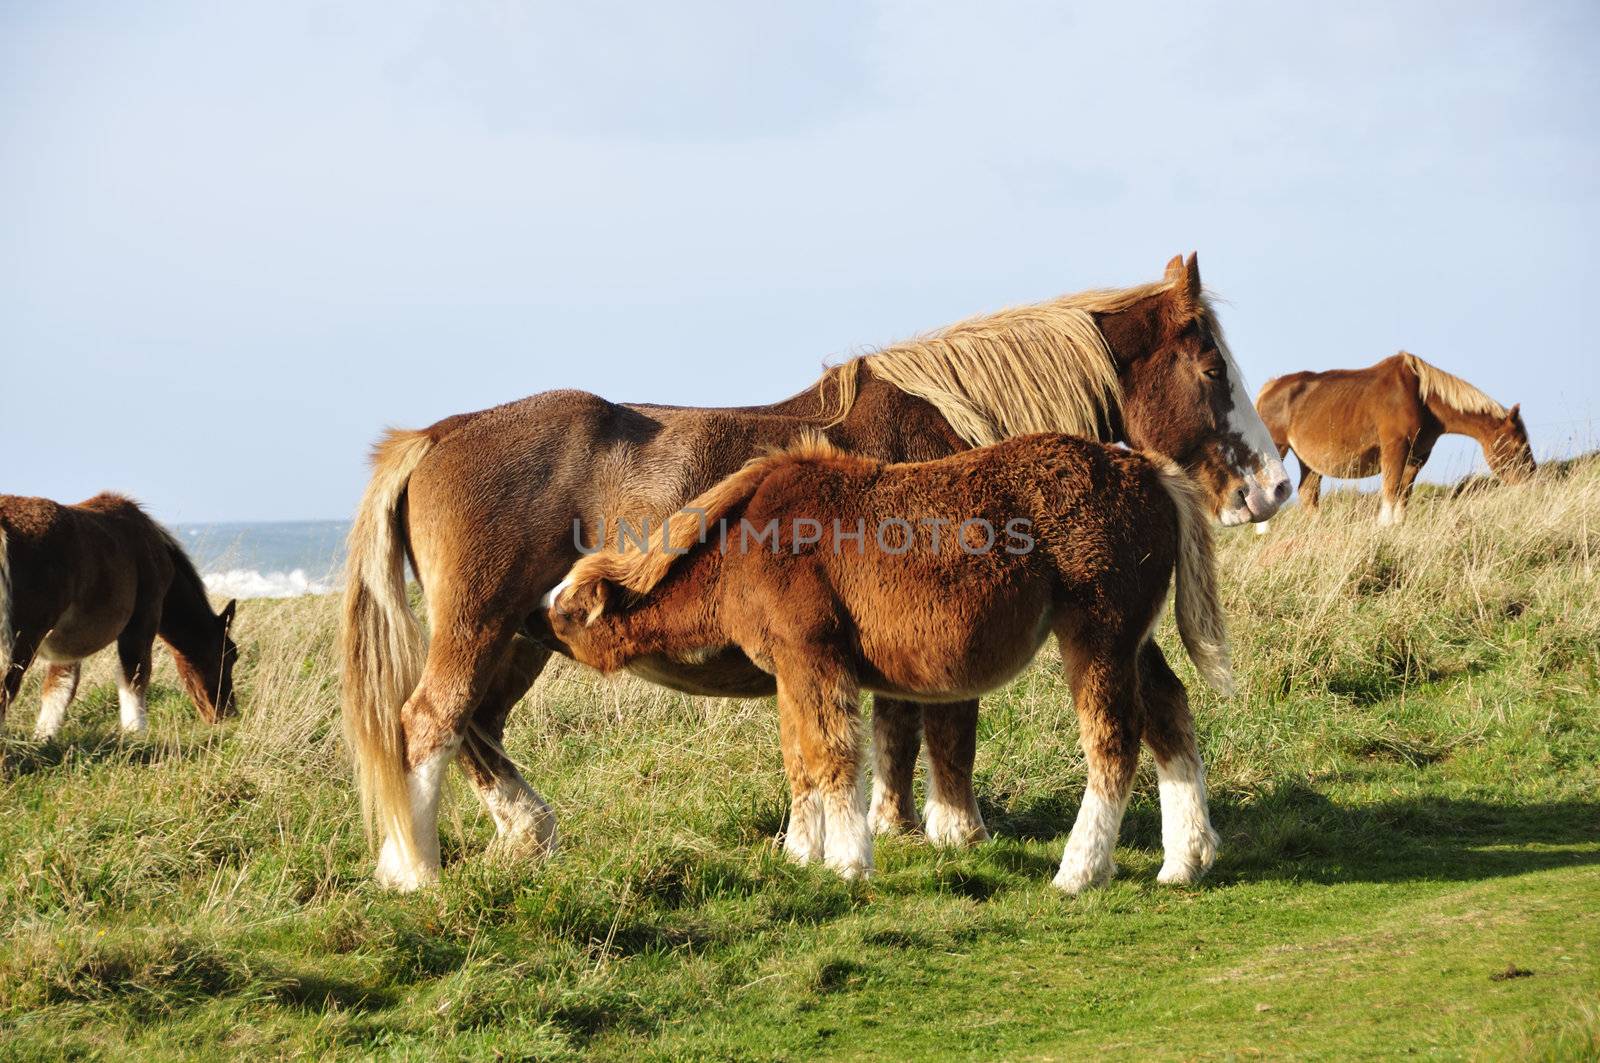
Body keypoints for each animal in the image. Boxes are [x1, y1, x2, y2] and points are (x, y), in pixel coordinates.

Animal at [1, 493, 240, 736]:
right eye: (230, 654)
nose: (228, 714)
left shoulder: (70, 642)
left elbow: (60, 685)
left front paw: (44, 736)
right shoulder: (144, 617)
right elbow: (135, 675)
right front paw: (136, 733)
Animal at [544, 432, 1228, 890]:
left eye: (571, 613)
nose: (538, 620)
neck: (745, 543)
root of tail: (1146, 467)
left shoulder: (815, 657)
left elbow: (831, 755)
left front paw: (848, 861)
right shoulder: (790, 669)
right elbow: (798, 760)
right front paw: (801, 854)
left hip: (1098, 635)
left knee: (1115, 740)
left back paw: (1078, 872)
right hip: (1133, 638)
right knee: (1170, 714)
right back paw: (1184, 862)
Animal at [1254, 352, 1529, 528]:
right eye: (1518, 445)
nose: (1530, 479)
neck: (1420, 398)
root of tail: (1269, 387)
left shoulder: (1417, 456)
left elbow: (1403, 492)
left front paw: (1398, 524)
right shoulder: (1394, 448)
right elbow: (1390, 489)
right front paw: (1384, 525)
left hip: (1308, 461)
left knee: (1308, 492)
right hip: (1276, 449)